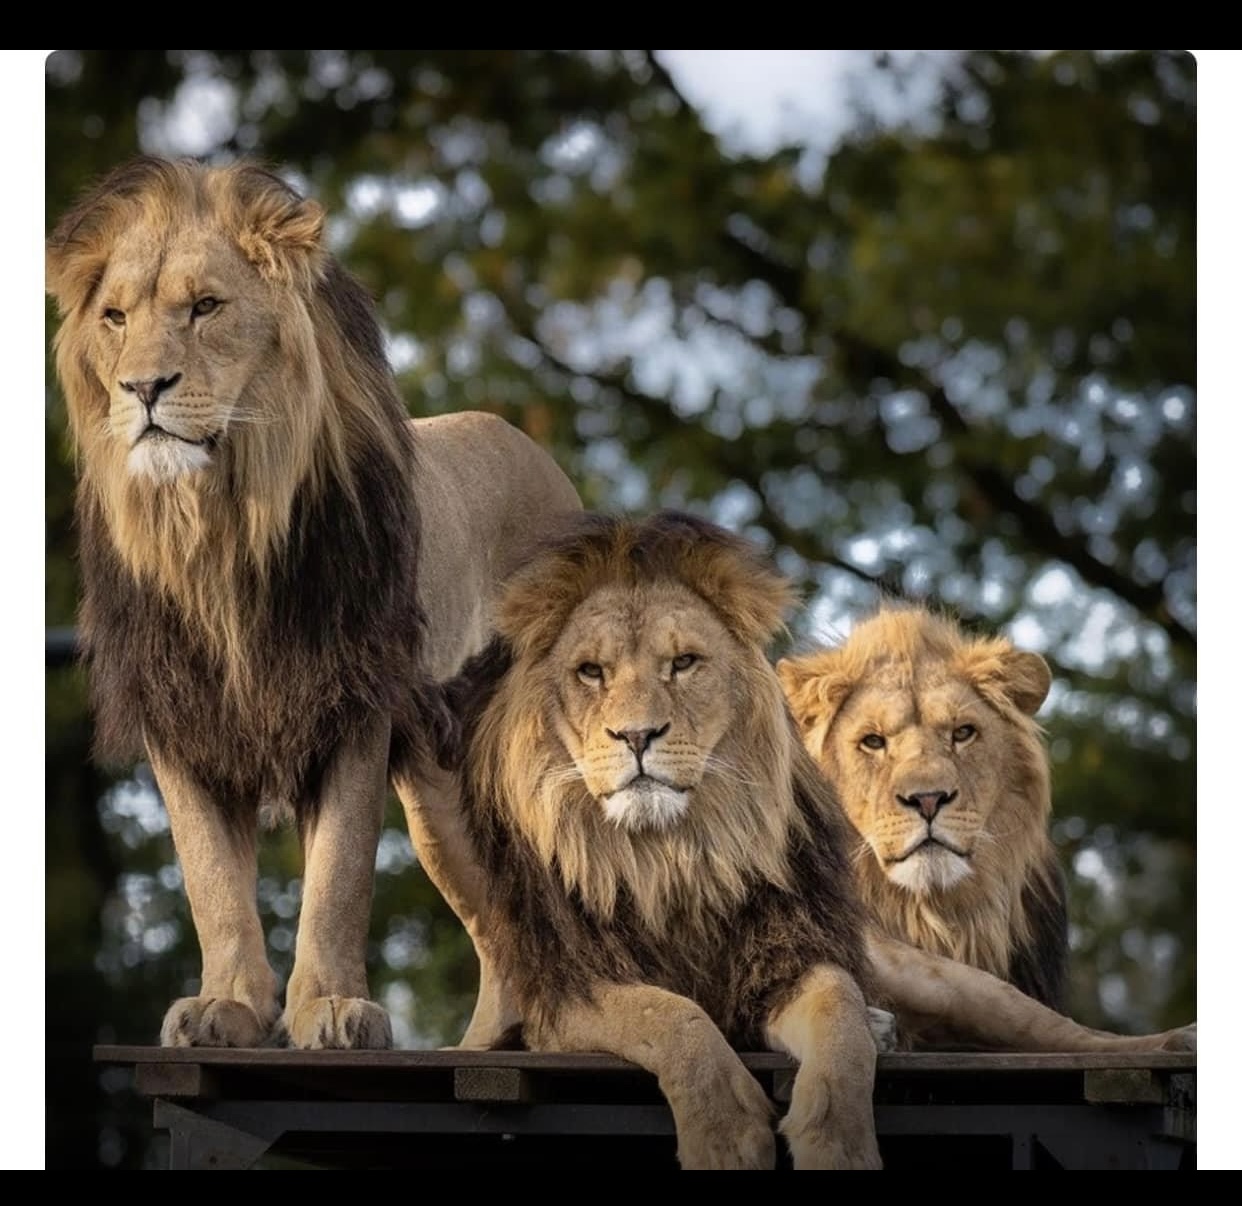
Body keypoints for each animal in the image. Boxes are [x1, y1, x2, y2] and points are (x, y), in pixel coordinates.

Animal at [45, 156, 582, 1051]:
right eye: (115, 318)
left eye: (206, 307)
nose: (142, 387)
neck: (219, 531)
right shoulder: (180, 715)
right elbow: (211, 881)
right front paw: (226, 1006)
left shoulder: (352, 702)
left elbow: (337, 876)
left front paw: (329, 1008)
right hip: (440, 798)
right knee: (501, 927)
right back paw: (484, 1045)